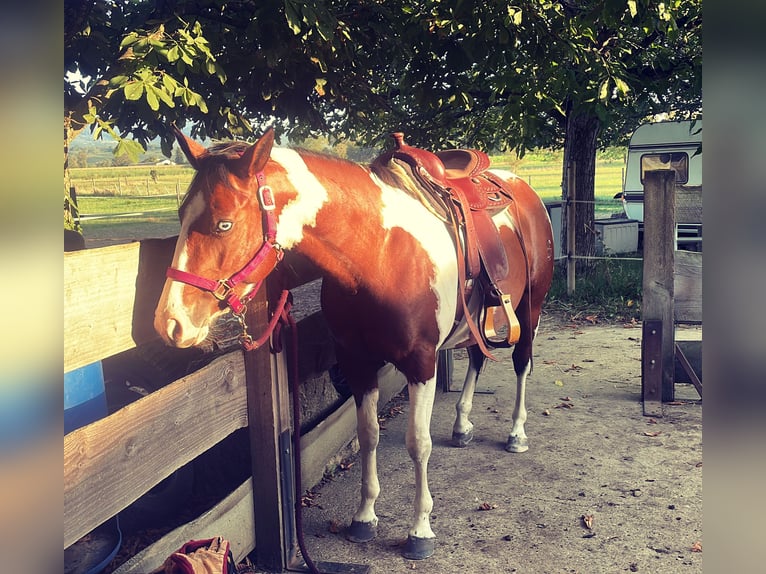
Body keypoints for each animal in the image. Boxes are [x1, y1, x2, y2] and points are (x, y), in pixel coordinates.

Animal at [154, 128, 552, 560]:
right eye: (181, 216)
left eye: (223, 224)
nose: (170, 322)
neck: (380, 253)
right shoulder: (356, 362)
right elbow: (368, 435)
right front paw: (364, 518)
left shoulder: (421, 364)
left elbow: (418, 443)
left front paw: (420, 530)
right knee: (478, 358)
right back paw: (462, 425)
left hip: (530, 308)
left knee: (521, 363)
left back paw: (517, 433)